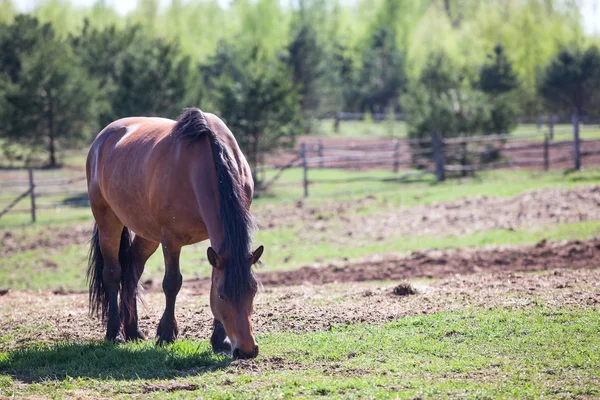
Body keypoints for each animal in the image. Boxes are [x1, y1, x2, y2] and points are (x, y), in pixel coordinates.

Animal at [86, 107, 262, 360]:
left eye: (253, 291)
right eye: (222, 296)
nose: (246, 350)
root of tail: (102, 139)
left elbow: (211, 277)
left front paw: (220, 341)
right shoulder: (171, 239)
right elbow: (172, 283)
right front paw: (166, 334)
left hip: (147, 234)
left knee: (132, 270)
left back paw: (133, 331)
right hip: (108, 221)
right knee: (113, 273)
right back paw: (115, 333)